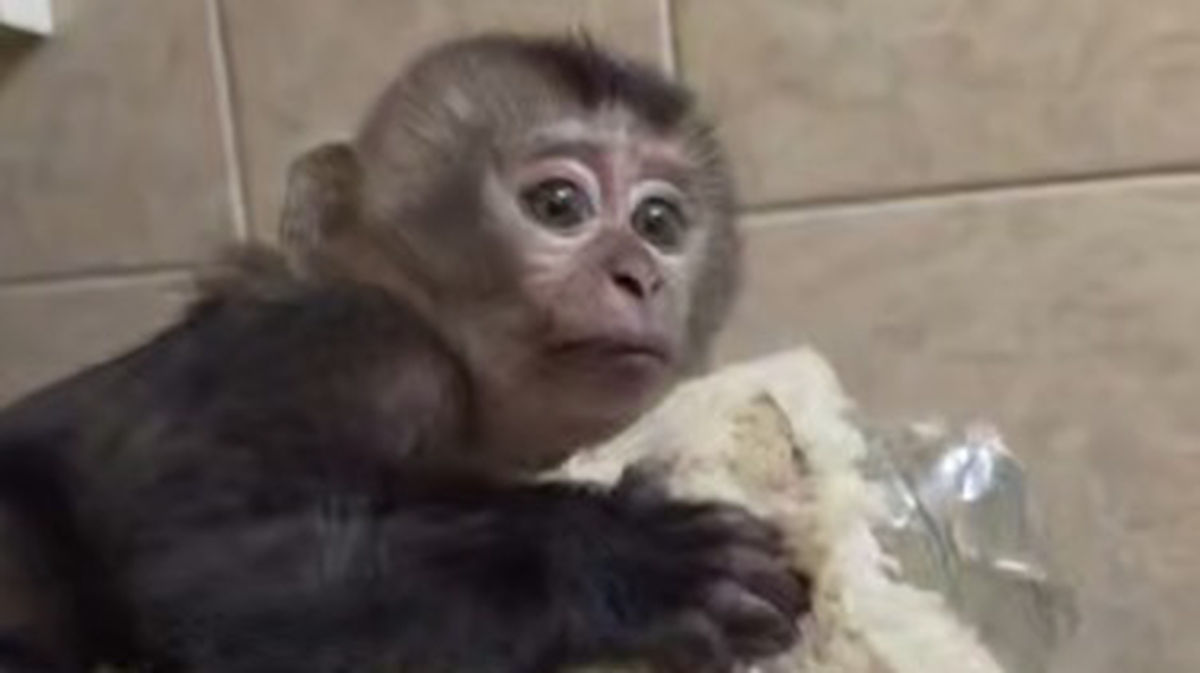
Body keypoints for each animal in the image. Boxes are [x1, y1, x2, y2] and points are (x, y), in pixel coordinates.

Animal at [0, 34, 808, 673]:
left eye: (658, 223)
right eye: (558, 206)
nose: (639, 275)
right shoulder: (358, 348)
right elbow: (201, 573)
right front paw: (631, 563)